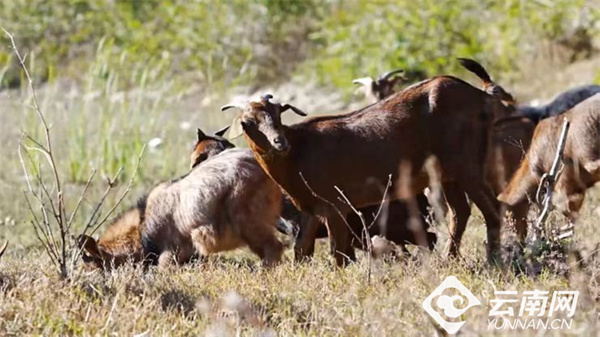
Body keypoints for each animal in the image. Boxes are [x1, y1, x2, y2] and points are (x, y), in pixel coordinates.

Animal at [223, 77, 508, 266]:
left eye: (278, 114)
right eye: (247, 123)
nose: (280, 143)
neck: (299, 151)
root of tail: (483, 97)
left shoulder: (336, 204)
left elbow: (338, 252)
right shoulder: (313, 209)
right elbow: (302, 249)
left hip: (466, 165)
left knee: (491, 207)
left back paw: (493, 260)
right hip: (448, 174)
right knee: (461, 212)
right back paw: (451, 259)